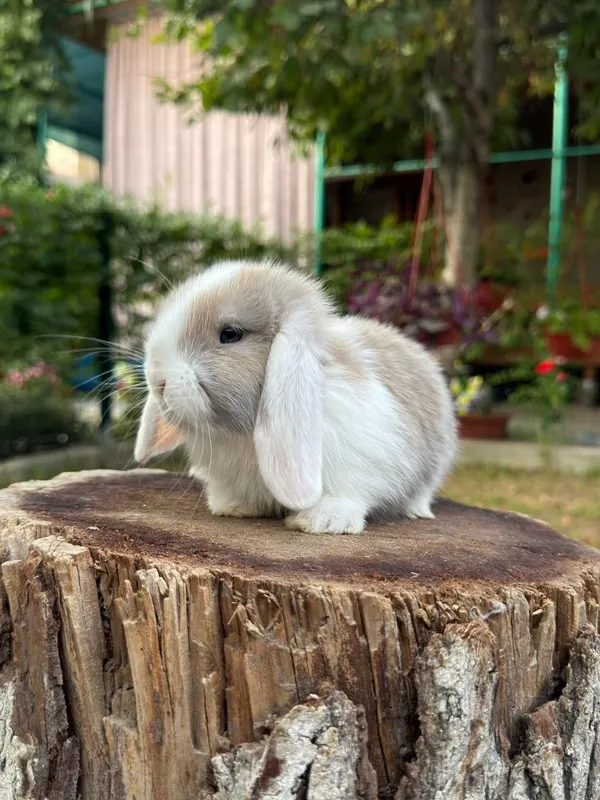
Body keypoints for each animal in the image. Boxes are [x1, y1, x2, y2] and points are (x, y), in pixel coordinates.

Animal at [134, 260, 458, 534]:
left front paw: (322, 520)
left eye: (230, 333)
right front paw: (233, 506)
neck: (241, 435)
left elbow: (351, 490)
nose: (157, 380)